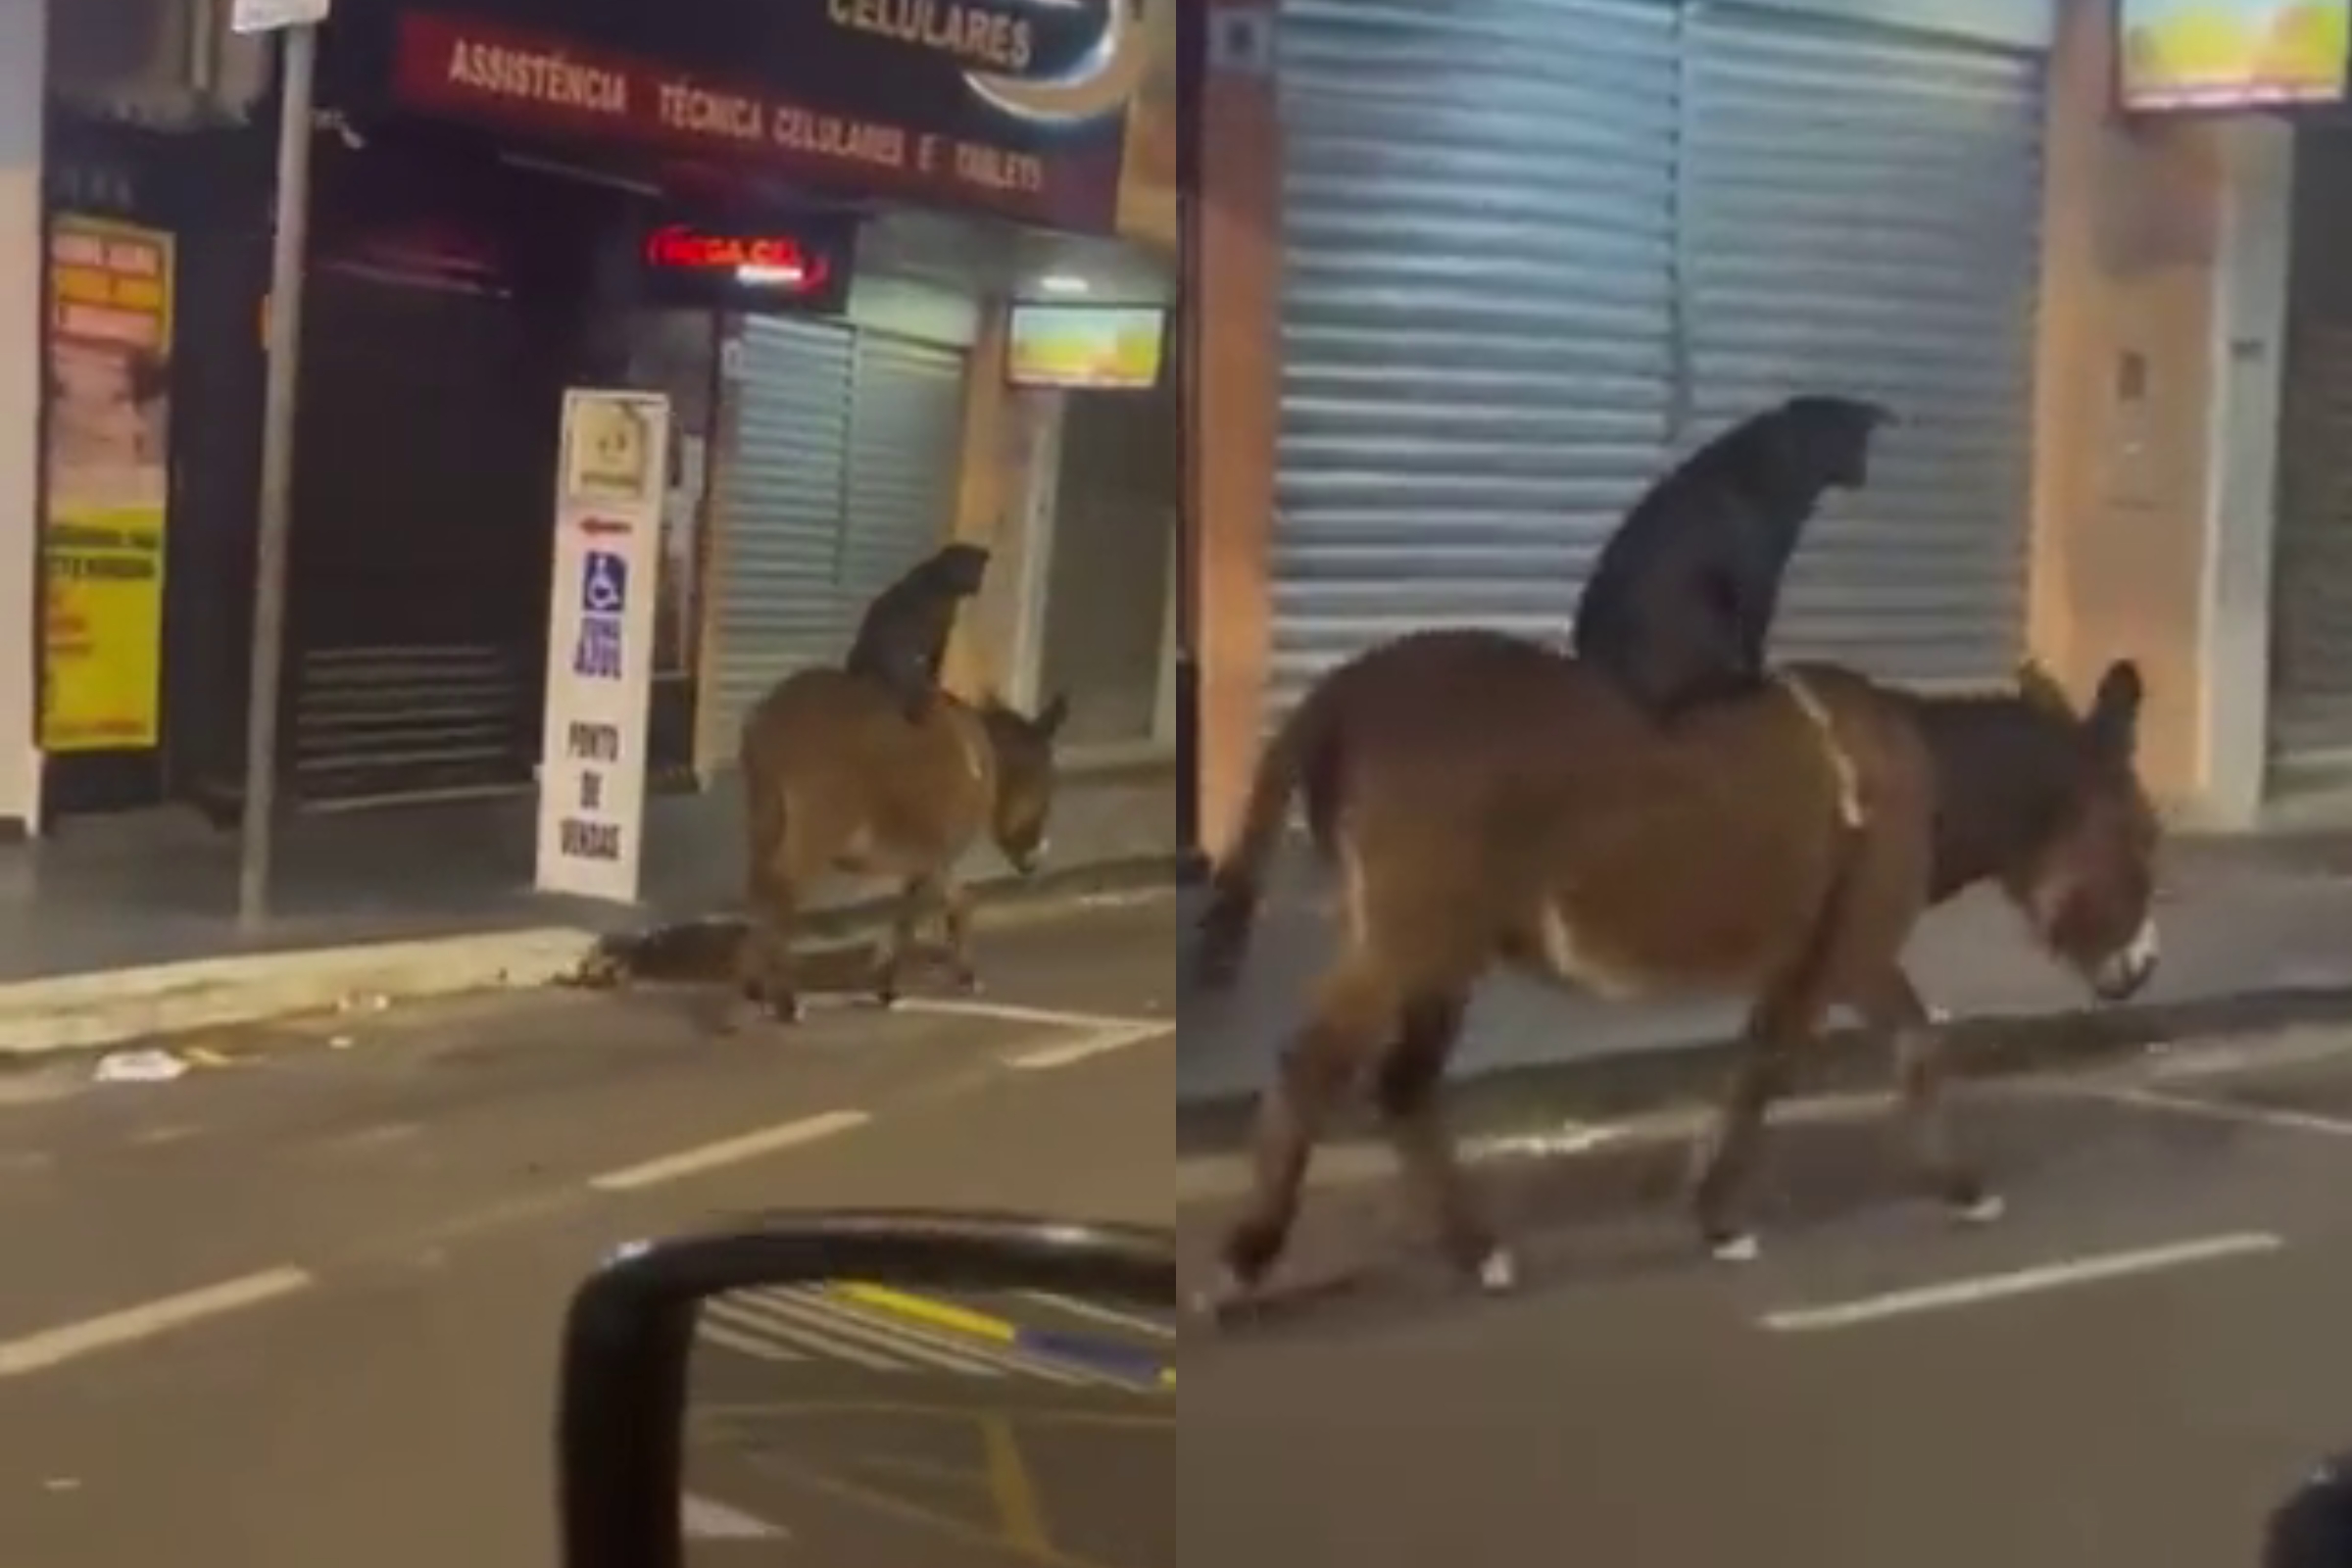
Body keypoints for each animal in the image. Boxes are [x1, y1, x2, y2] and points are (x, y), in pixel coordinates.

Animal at [1561, 394, 1890, 719]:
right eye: (1850, 441)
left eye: (1861, 442)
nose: (1862, 473)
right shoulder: (1759, 574)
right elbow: (1755, 635)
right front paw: (1759, 678)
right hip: (1711, 603)